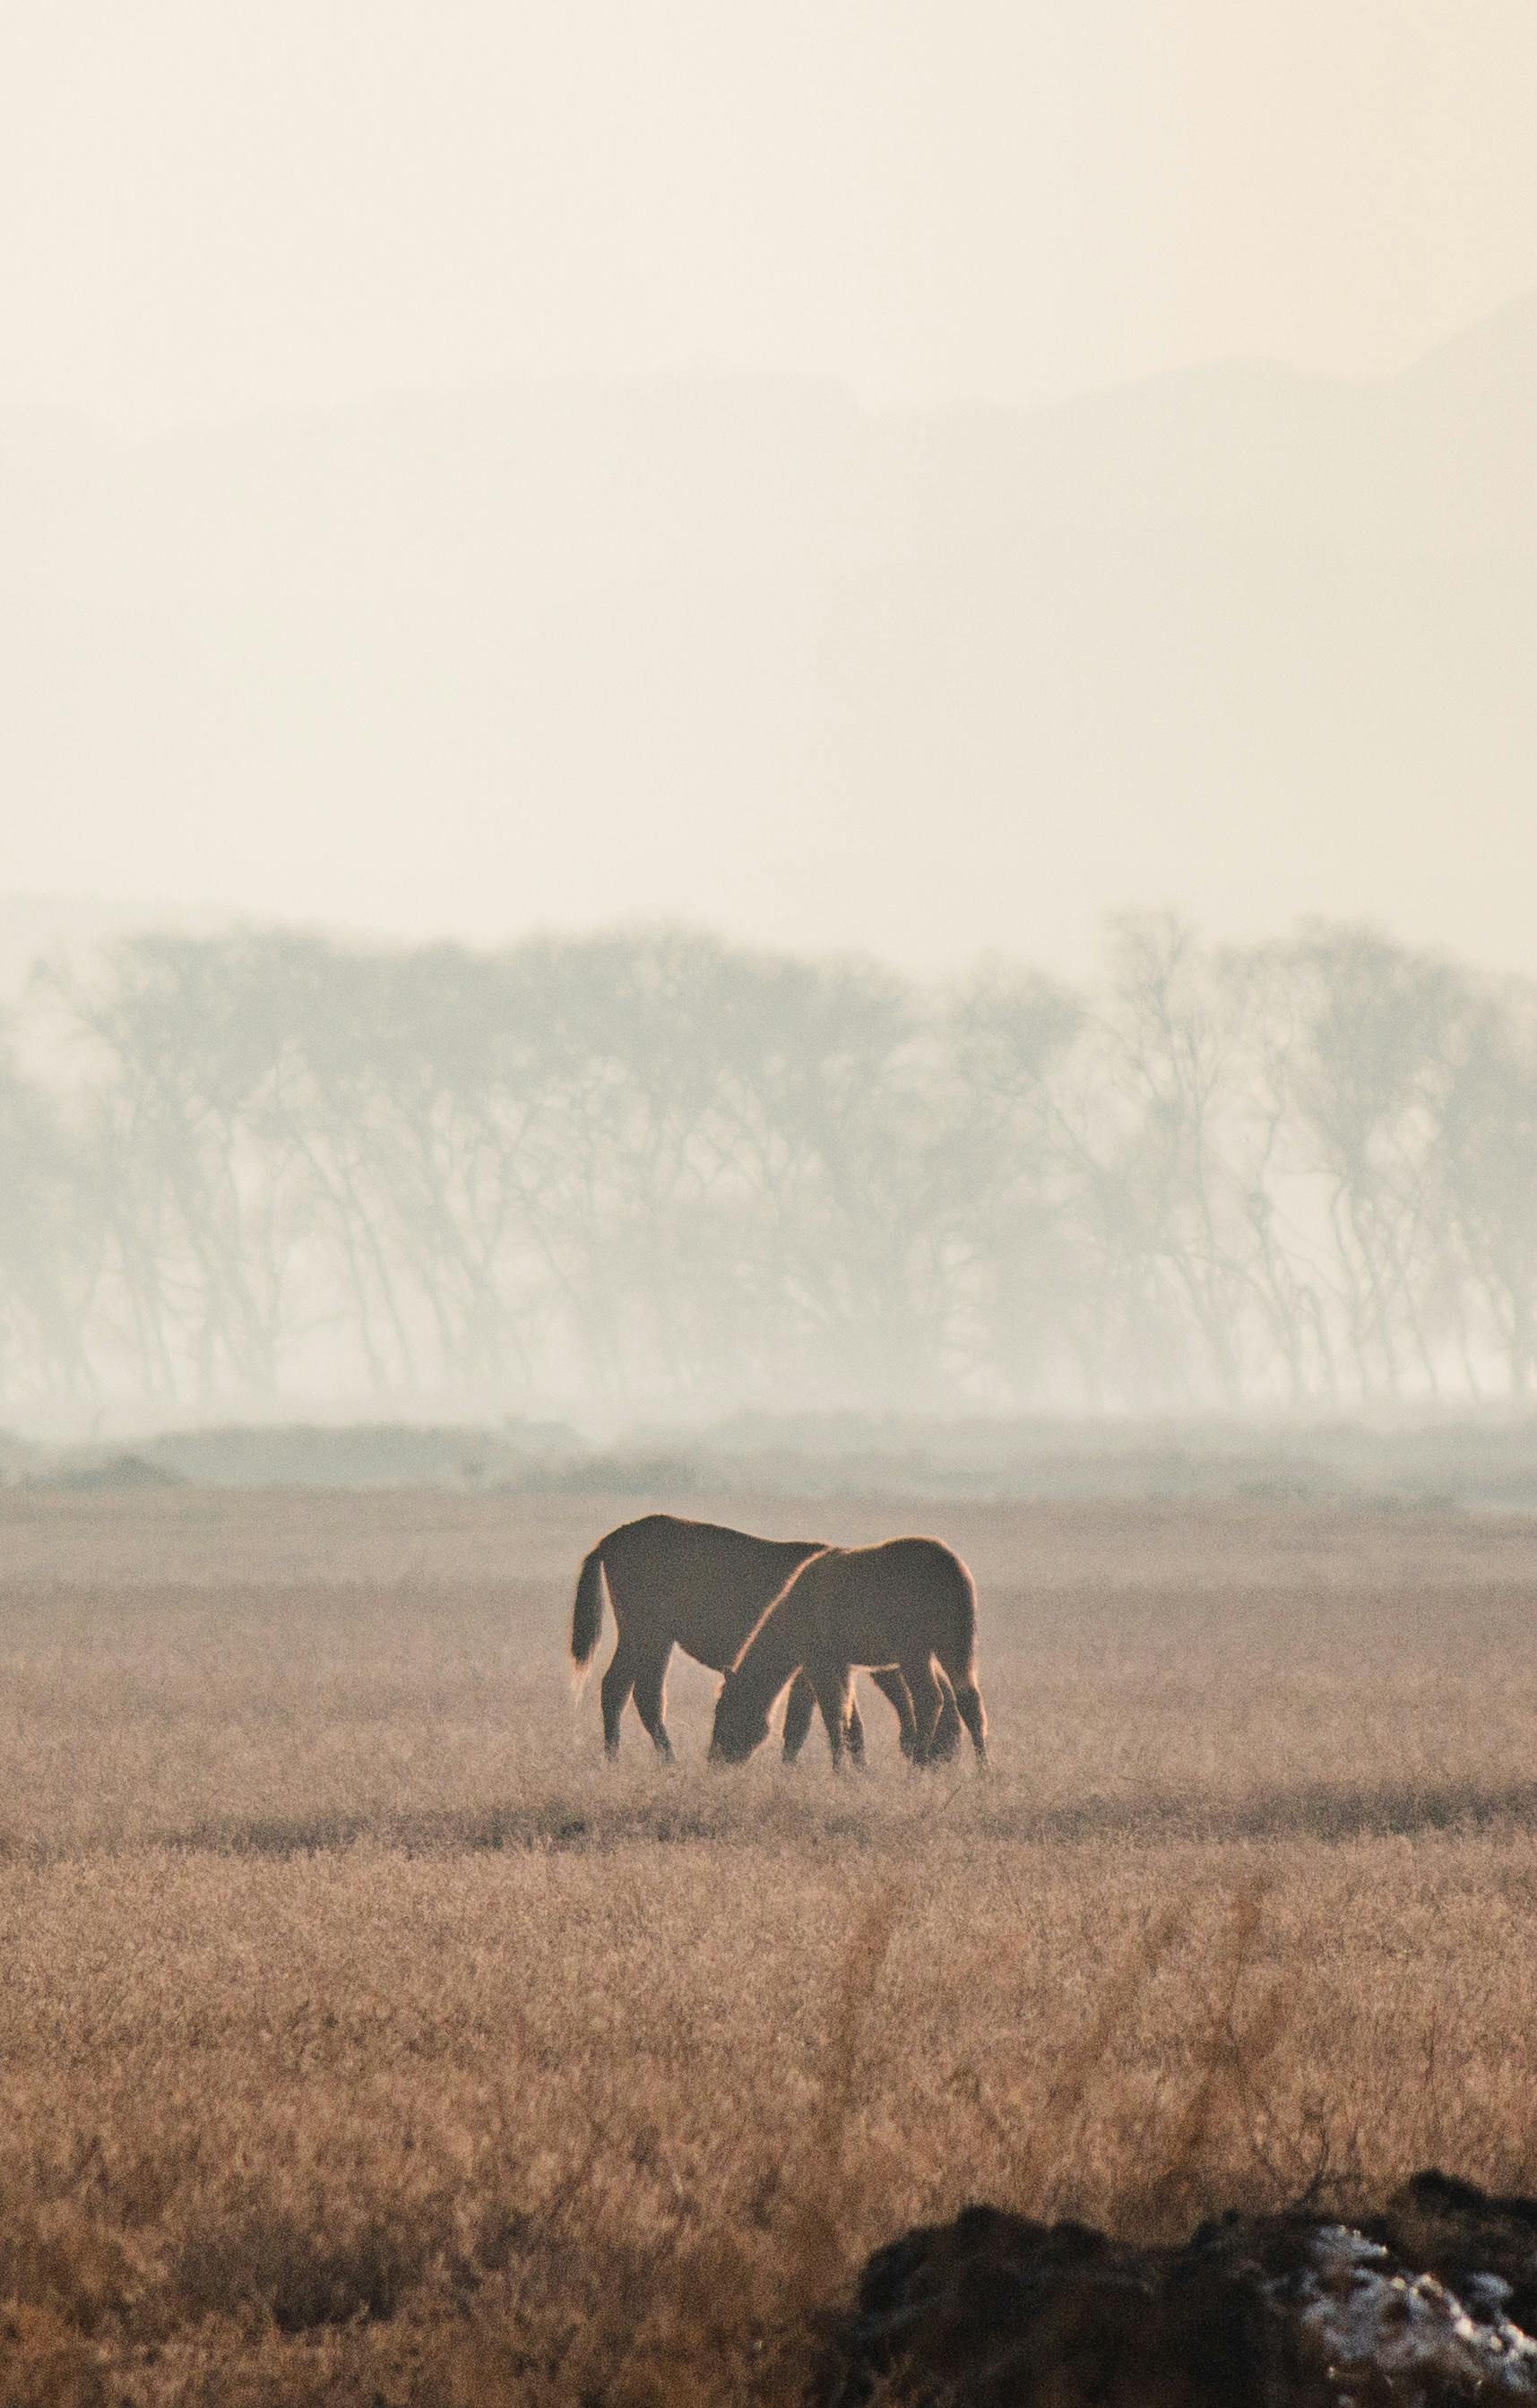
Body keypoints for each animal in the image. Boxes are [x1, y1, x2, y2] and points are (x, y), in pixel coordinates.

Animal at [568, 1512, 954, 1762]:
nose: (941, 1758)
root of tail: (610, 1540)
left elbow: (837, 1721)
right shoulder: (813, 1666)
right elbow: (808, 1723)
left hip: (642, 1636)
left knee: (618, 1688)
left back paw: (619, 1758)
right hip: (650, 1635)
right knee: (642, 1694)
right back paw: (663, 1761)